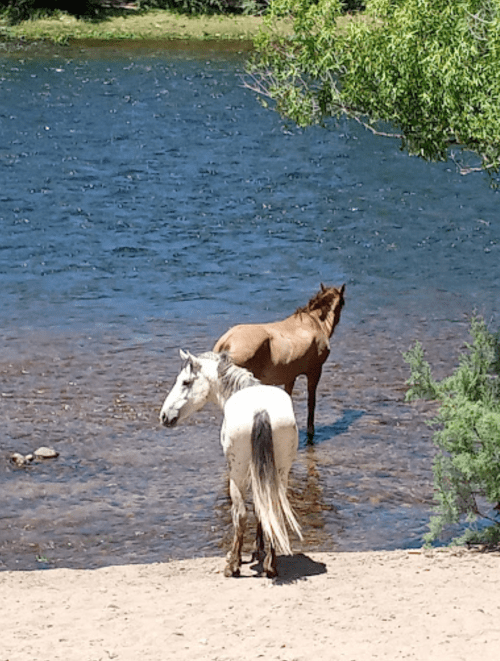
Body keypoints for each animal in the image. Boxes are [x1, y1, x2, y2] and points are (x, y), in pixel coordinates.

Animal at [160, 350, 302, 578]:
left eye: (185, 382)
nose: (165, 416)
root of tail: (261, 411)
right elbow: (261, 508)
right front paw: (258, 550)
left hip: (237, 473)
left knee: (241, 515)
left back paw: (233, 566)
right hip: (280, 471)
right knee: (272, 508)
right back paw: (271, 565)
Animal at [213, 283, 346, 441]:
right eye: (342, 302)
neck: (315, 323)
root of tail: (226, 341)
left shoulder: (290, 375)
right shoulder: (315, 371)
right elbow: (311, 403)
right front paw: (310, 432)